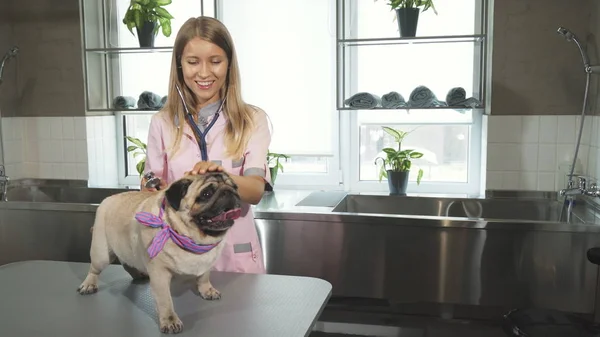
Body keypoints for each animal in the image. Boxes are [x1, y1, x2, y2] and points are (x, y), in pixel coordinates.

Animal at [77, 172, 241, 332]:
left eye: (235, 187)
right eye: (207, 193)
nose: (229, 191)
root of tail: (108, 199)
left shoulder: (206, 264)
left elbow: (203, 278)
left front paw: (207, 290)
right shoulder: (159, 274)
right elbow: (165, 301)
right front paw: (170, 320)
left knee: (127, 264)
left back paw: (138, 275)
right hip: (101, 254)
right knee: (94, 269)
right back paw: (89, 284)